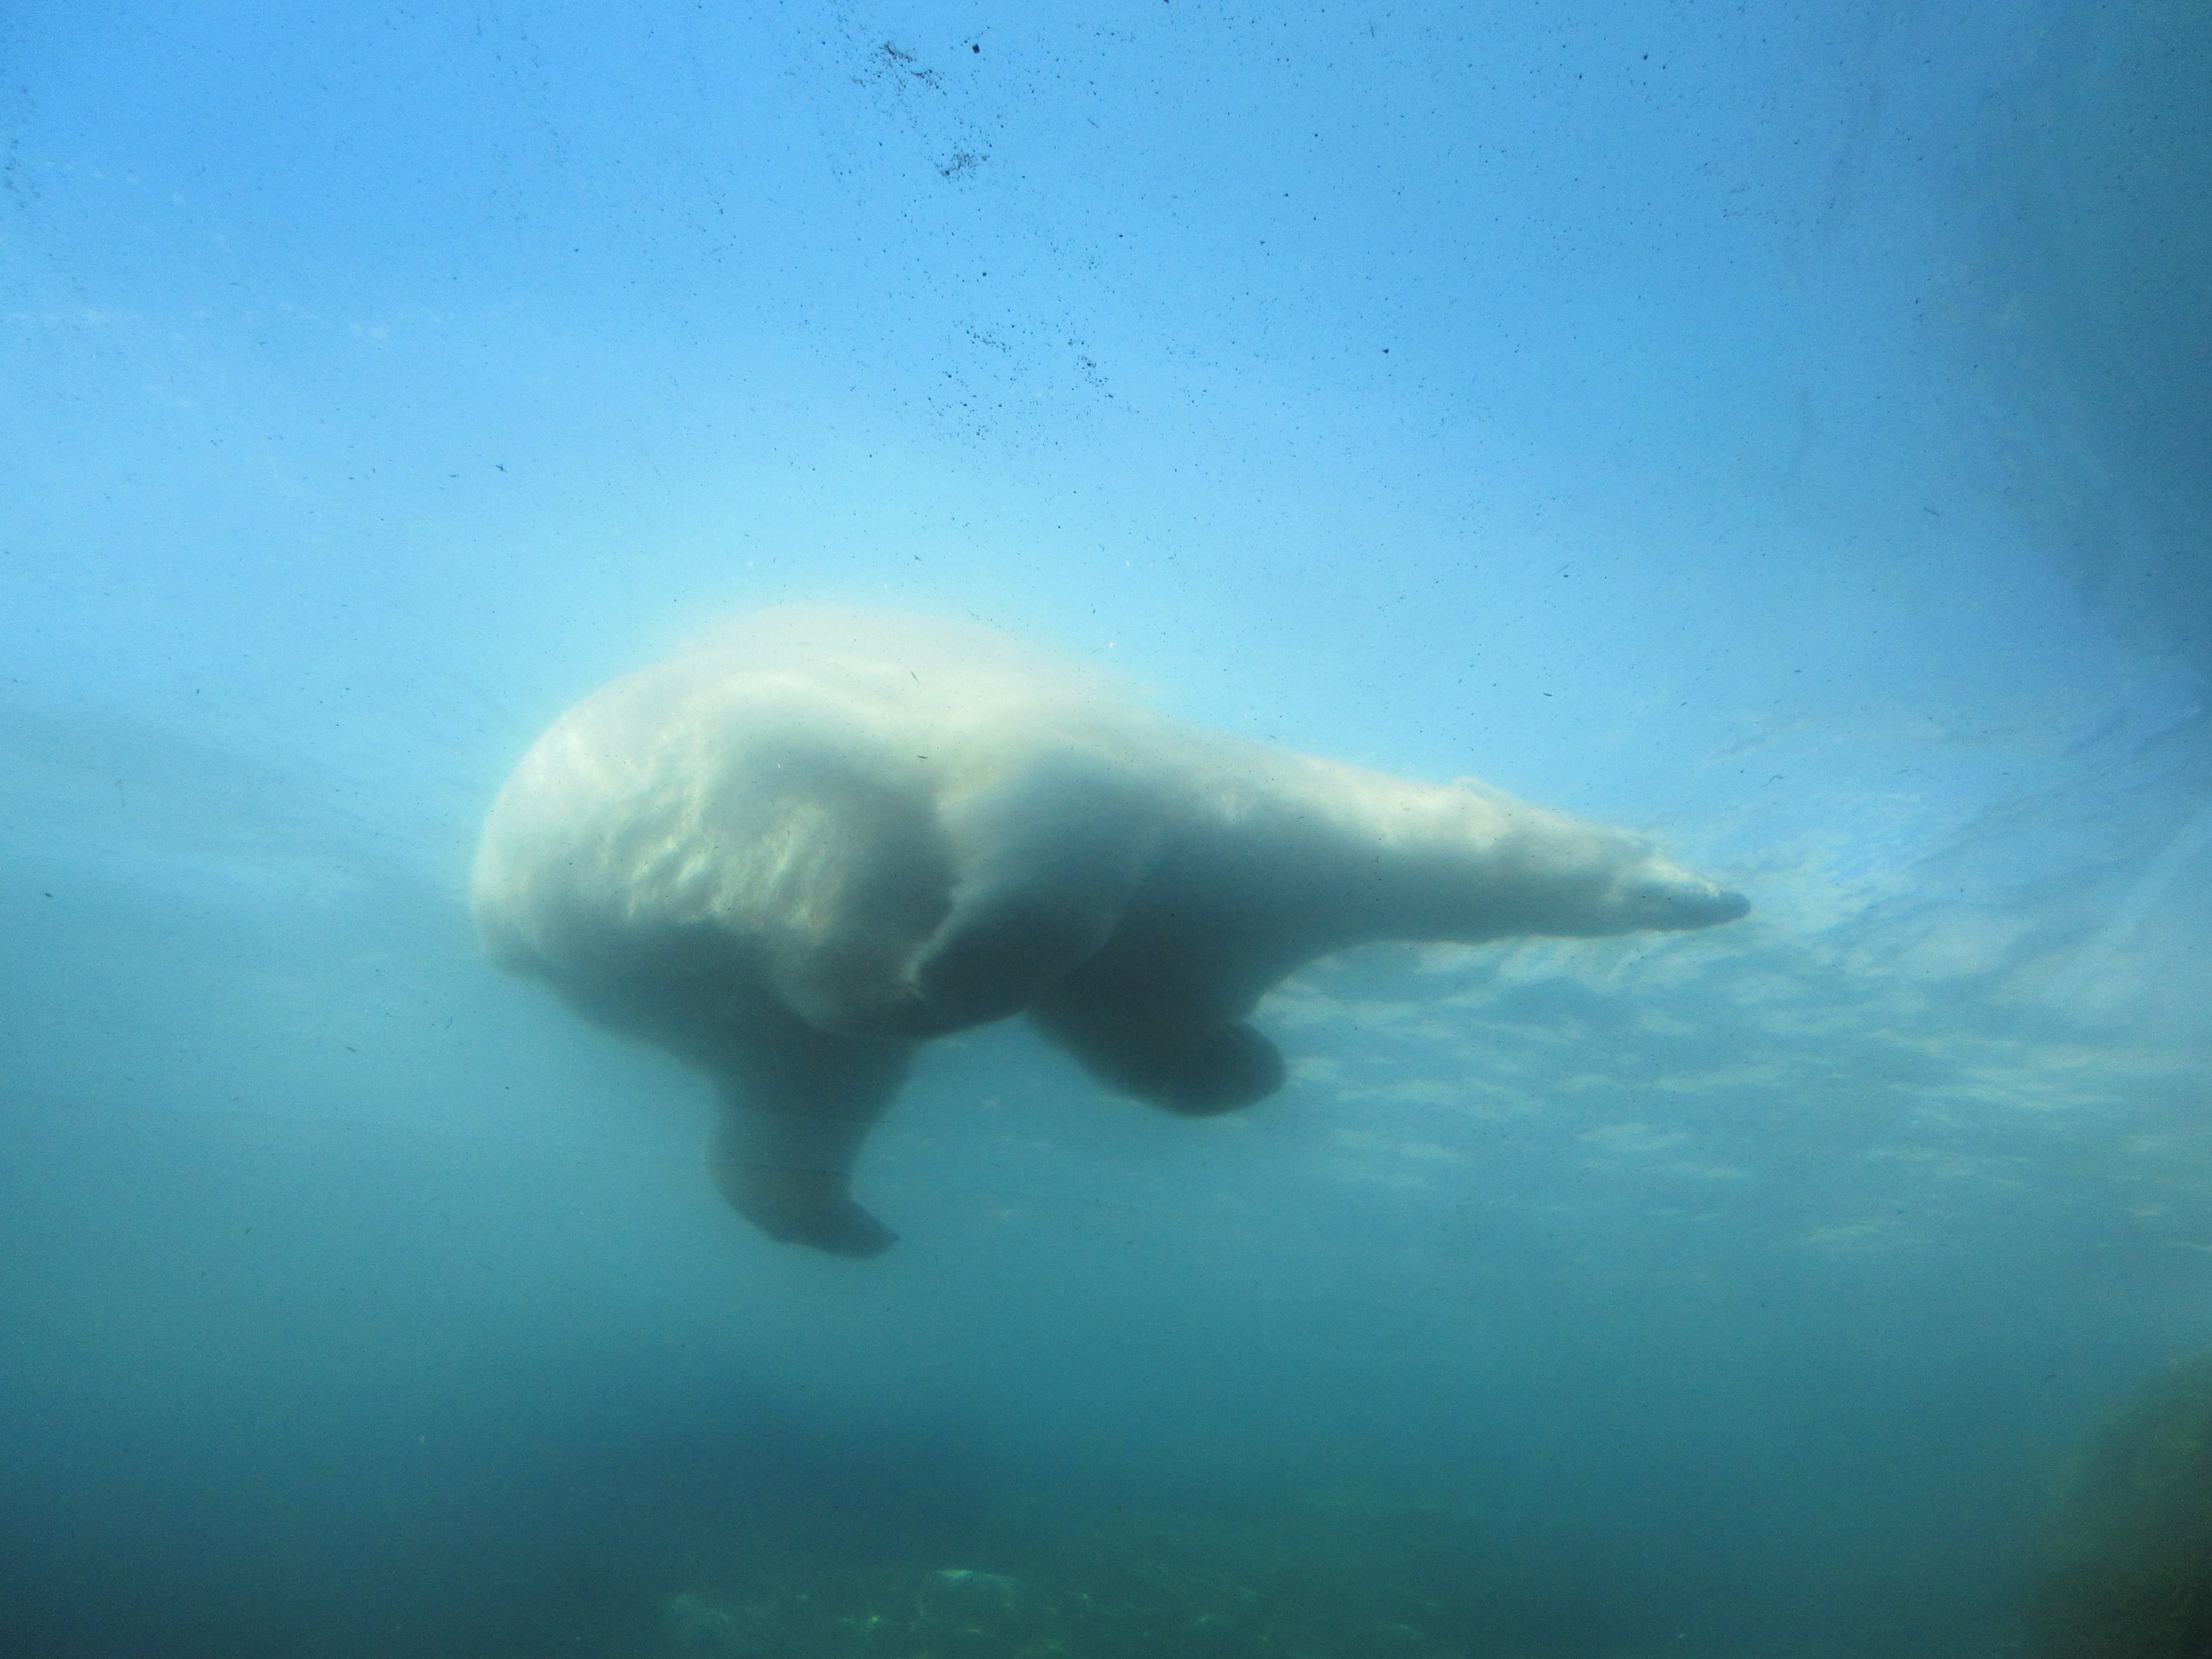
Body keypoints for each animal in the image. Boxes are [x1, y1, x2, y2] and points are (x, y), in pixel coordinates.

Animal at [472, 607, 1748, 1256]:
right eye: (1629, 848)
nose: (1720, 896)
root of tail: (500, 906)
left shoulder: (1190, 940)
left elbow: (1144, 1030)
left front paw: (1241, 1064)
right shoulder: (1119, 786)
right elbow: (1049, 849)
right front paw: (973, 955)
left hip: (685, 975)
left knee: (793, 1076)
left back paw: (836, 1212)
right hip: (747, 761)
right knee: (826, 923)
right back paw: (912, 985)